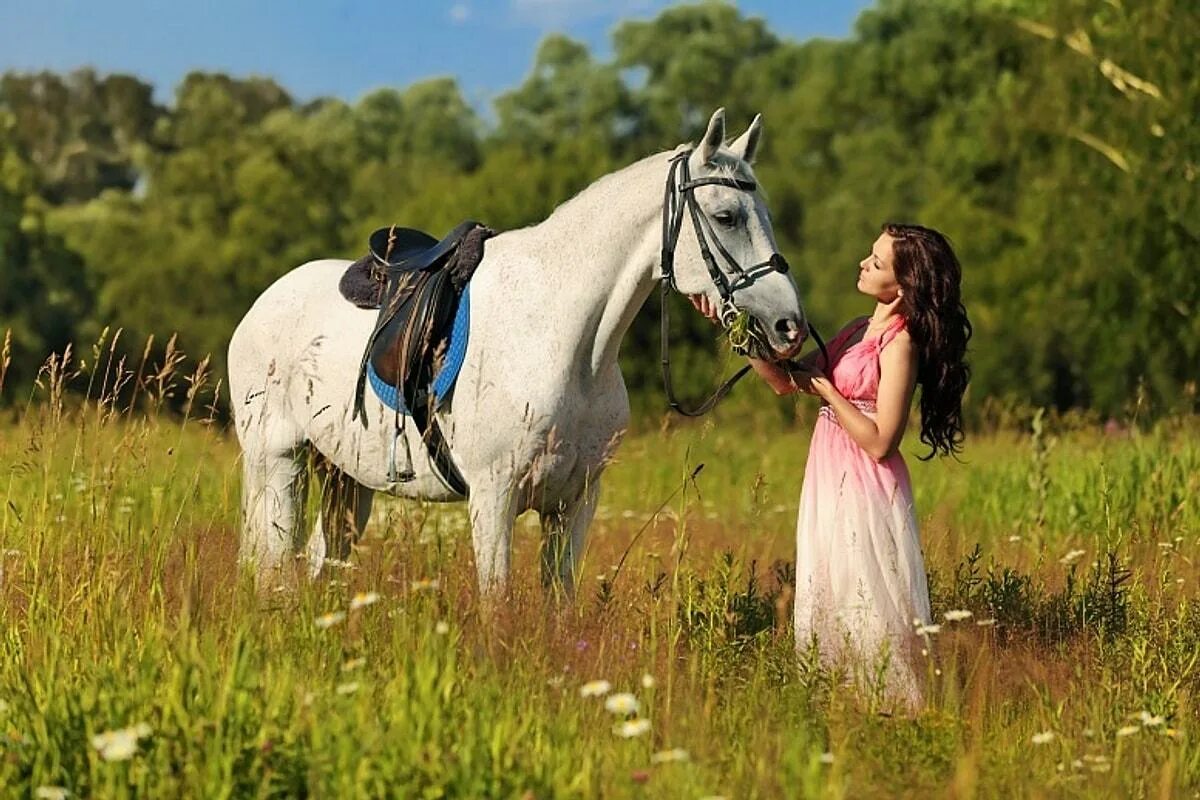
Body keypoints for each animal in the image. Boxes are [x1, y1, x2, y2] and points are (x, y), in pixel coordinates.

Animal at [226, 109, 806, 599]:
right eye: (726, 216)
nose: (789, 326)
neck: (567, 343)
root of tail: (260, 305)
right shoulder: (494, 497)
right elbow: (497, 602)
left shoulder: (575, 503)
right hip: (277, 463)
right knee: (273, 564)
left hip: (344, 480)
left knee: (319, 562)